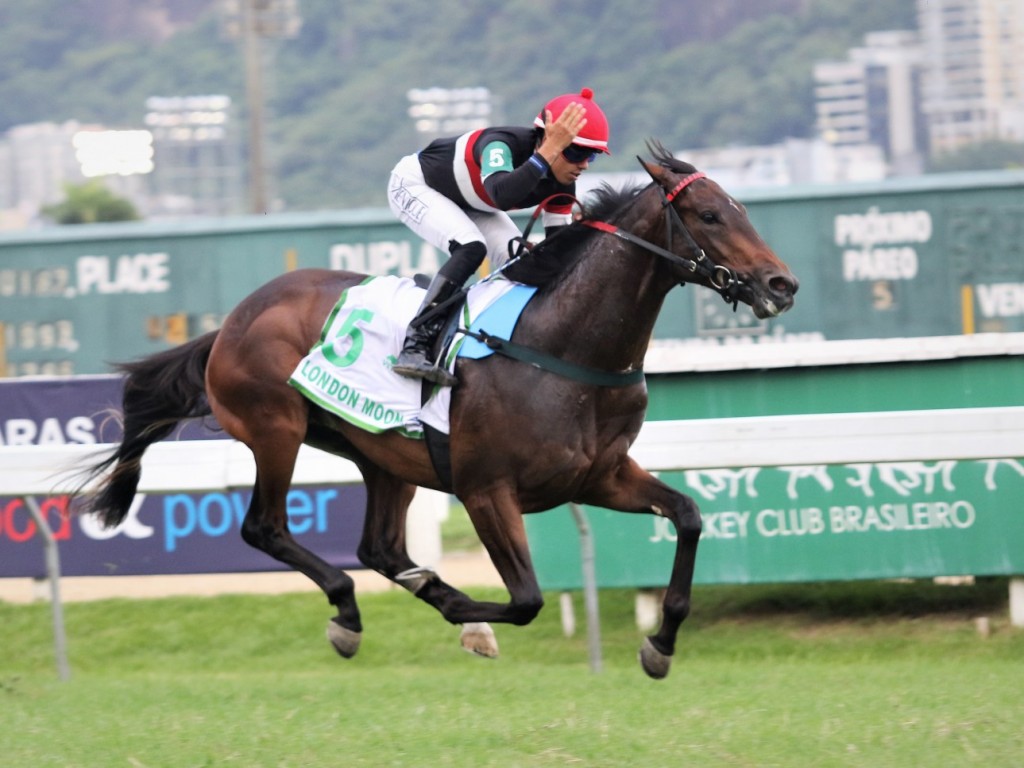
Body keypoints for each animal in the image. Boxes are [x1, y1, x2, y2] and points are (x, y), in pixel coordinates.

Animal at [79, 143, 798, 679]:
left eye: (740, 209)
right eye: (708, 214)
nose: (781, 283)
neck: (559, 345)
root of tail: (231, 321)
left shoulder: (600, 476)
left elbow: (689, 516)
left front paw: (661, 643)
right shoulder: (485, 488)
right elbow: (527, 599)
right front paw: (469, 619)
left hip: (380, 451)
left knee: (379, 547)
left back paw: (412, 592)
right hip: (274, 428)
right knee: (266, 528)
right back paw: (357, 613)